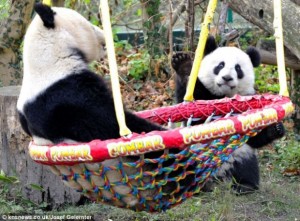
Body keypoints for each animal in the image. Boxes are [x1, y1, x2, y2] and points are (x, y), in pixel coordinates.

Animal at [172, 36, 284, 193]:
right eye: (220, 65)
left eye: (238, 68)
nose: (226, 78)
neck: (223, 97)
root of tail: (216, 179)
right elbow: (192, 115)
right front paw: (184, 66)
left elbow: (255, 137)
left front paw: (277, 128)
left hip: (239, 152)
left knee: (247, 165)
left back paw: (245, 185)